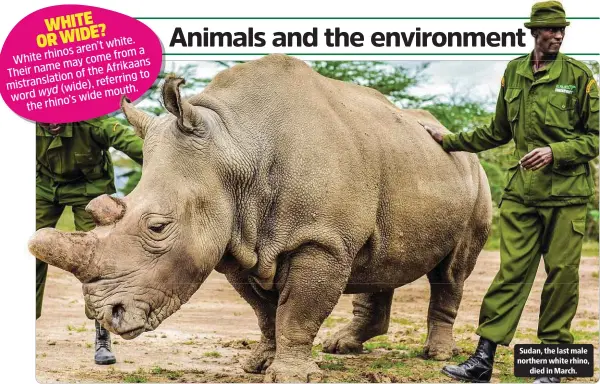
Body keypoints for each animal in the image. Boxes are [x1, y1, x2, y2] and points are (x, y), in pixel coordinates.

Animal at [29, 55, 492, 382]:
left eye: (157, 227)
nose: (106, 315)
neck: (235, 147)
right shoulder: (236, 242)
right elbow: (264, 312)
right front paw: (258, 364)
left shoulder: (321, 239)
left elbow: (298, 310)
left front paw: (291, 375)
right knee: (379, 261)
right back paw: (343, 346)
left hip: (473, 175)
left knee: (451, 272)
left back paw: (438, 355)